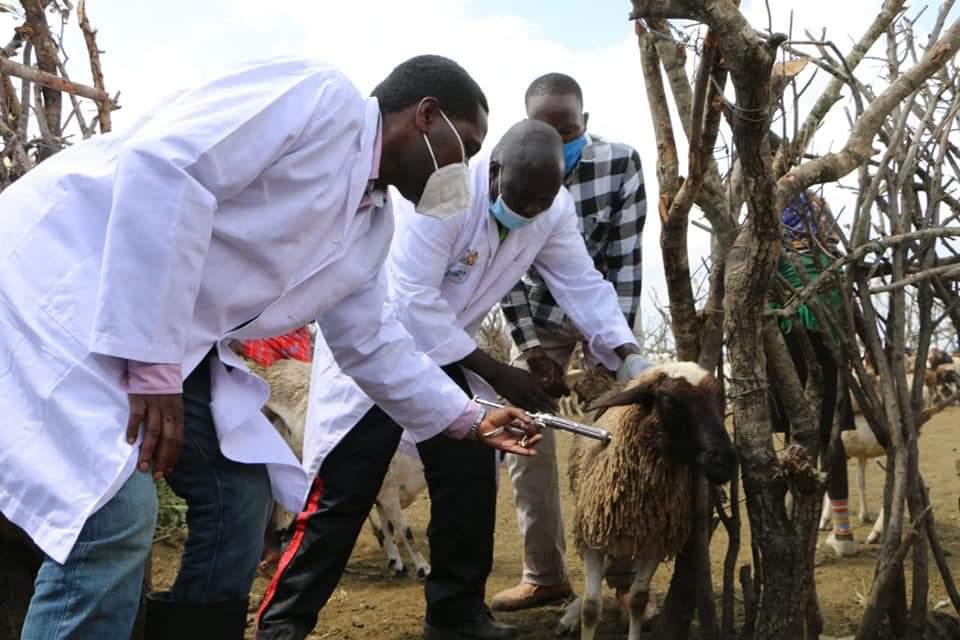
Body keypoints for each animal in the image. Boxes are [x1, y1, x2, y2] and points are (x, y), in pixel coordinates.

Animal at [246, 358, 431, 578]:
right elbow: (405, 531)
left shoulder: (382, 492)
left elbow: (388, 530)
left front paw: (396, 563)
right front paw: (423, 568)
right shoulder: (389, 491)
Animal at [556, 362, 737, 640]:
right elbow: (591, 606)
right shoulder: (591, 536)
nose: (725, 461)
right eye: (669, 400)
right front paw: (581, 614)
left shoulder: (655, 541)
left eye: (721, 398)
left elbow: (638, 600)